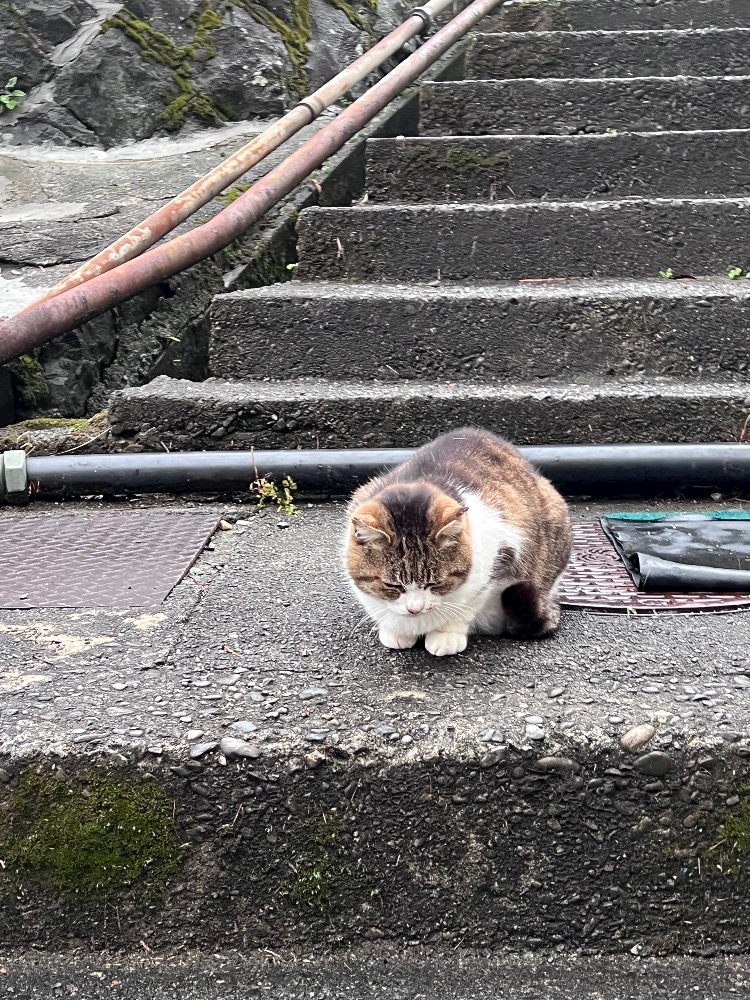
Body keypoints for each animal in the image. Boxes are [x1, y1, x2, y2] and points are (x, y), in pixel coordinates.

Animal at [344, 427, 571, 657]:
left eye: (435, 583)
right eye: (392, 585)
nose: (415, 609)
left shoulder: (500, 553)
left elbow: (466, 606)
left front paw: (445, 635)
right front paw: (396, 630)